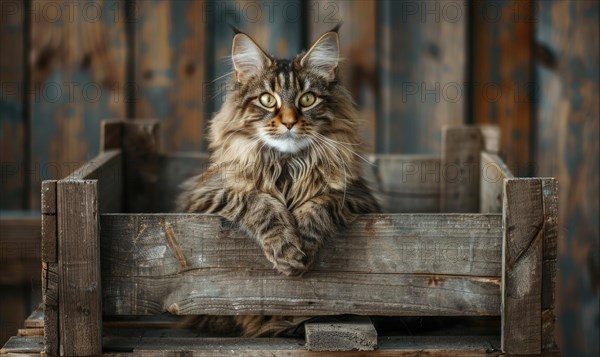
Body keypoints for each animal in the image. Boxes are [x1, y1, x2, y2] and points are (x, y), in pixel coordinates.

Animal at [176, 26, 378, 336]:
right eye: (267, 100)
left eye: (307, 99)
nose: (289, 123)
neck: (287, 167)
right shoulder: (203, 197)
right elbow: (257, 200)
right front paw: (285, 248)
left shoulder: (358, 197)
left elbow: (321, 202)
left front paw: (303, 241)